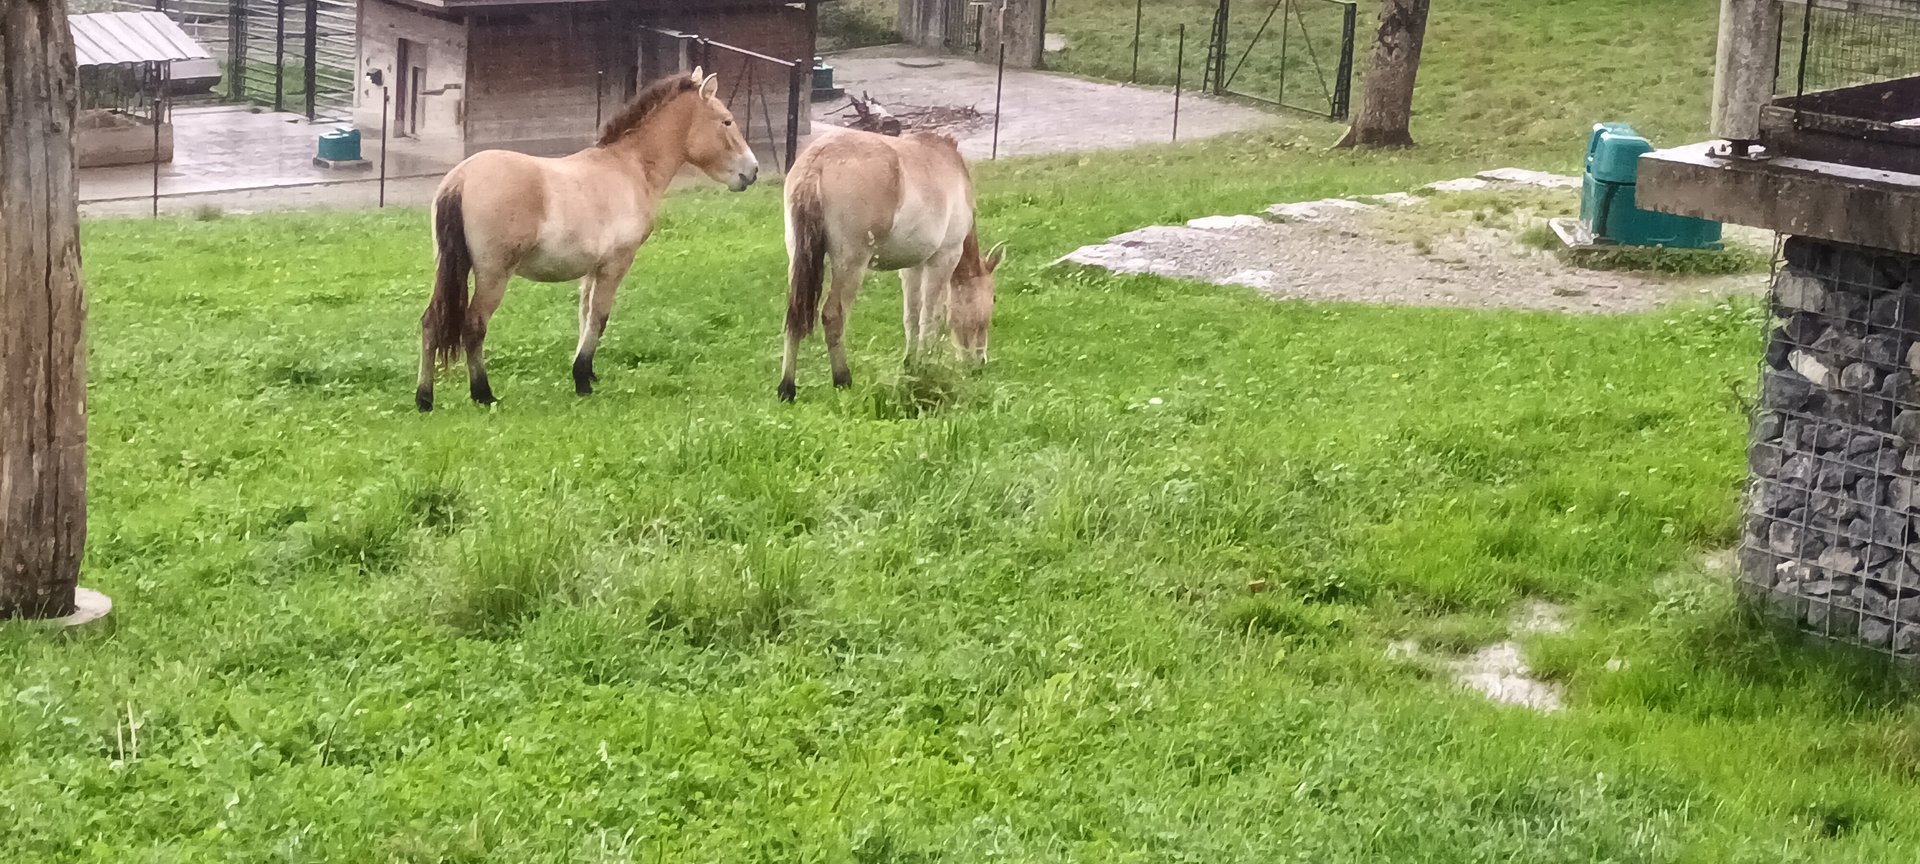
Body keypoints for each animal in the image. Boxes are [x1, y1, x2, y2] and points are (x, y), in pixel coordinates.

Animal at [415, 68, 759, 412]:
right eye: (727, 121)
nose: (752, 170)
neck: (629, 167)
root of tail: (461, 178)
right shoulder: (615, 265)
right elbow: (599, 318)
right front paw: (582, 379)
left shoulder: (592, 270)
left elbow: (584, 317)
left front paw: (587, 373)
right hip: (493, 276)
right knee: (474, 325)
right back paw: (482, 393)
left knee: (431, 322)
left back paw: (424, 398)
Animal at [777, 129, 1003, 402]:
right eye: (993, 298)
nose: (980, 362)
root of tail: (818, 161)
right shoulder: (943, 259)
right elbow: (931, 317)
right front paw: (926, 366)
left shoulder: (912, 266)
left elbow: (912, 315)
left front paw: (911, 364)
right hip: (851, 264)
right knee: (833, 315)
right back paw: (842, 380)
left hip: (798, 257)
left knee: (794, 315)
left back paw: (787, 388)